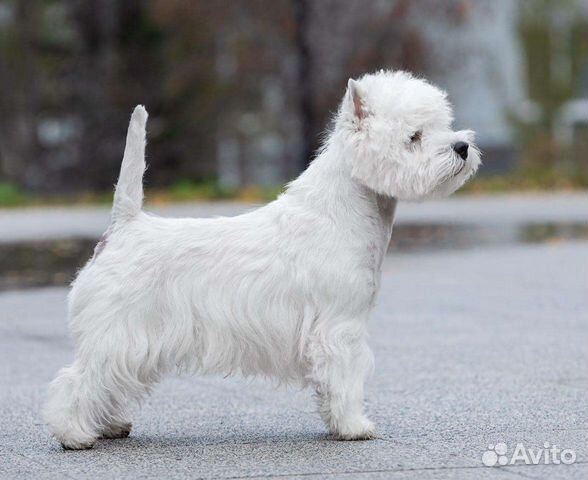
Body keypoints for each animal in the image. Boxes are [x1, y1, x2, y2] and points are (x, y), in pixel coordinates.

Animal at [44, 69, 478, 448]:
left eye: (444, 124)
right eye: (414, 137)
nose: (462, 147)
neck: (344, 212)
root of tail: (124, 226)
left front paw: (335, 421)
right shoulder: (339, 327)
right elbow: (346, 377)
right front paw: (355, 426)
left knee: (111, 381)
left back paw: (110, 425)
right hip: (118, 331)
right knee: (78, 378)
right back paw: (75, 435)